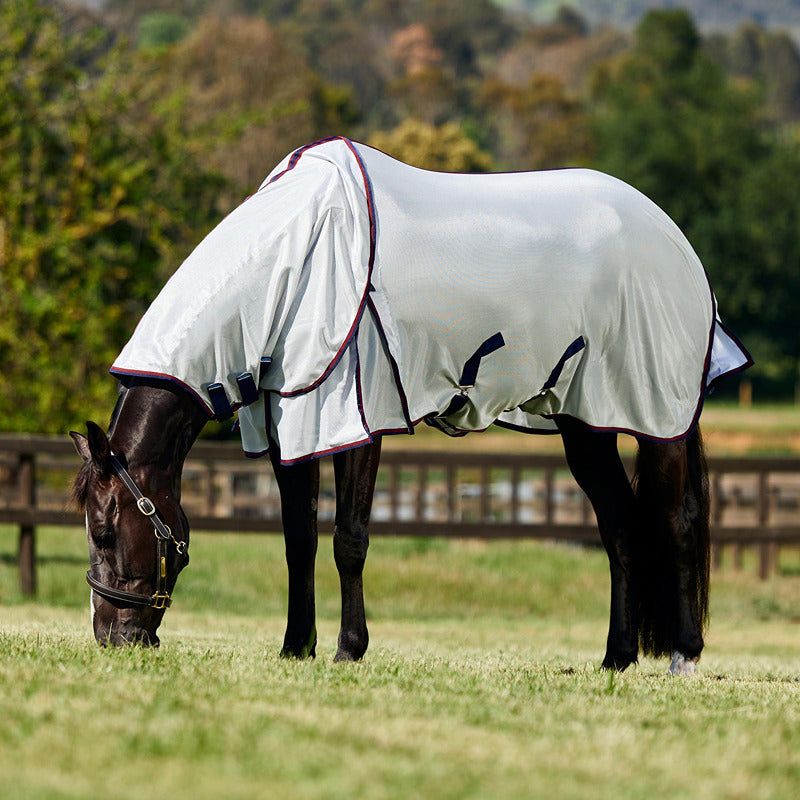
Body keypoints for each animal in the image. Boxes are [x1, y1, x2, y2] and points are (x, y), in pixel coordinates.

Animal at [71, 137, 751, 674]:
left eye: (104, 531)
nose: (112, 638)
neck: (294, 260)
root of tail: (676, 241)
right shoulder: (293, 422)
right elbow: (298, 540)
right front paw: (296, 647)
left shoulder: (353, 418)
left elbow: (348, 539)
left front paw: (349, 649)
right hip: (587, 423)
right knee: (620, 526)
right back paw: (615, 659)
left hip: (657, 414)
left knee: (676, 519)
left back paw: (682, 656)